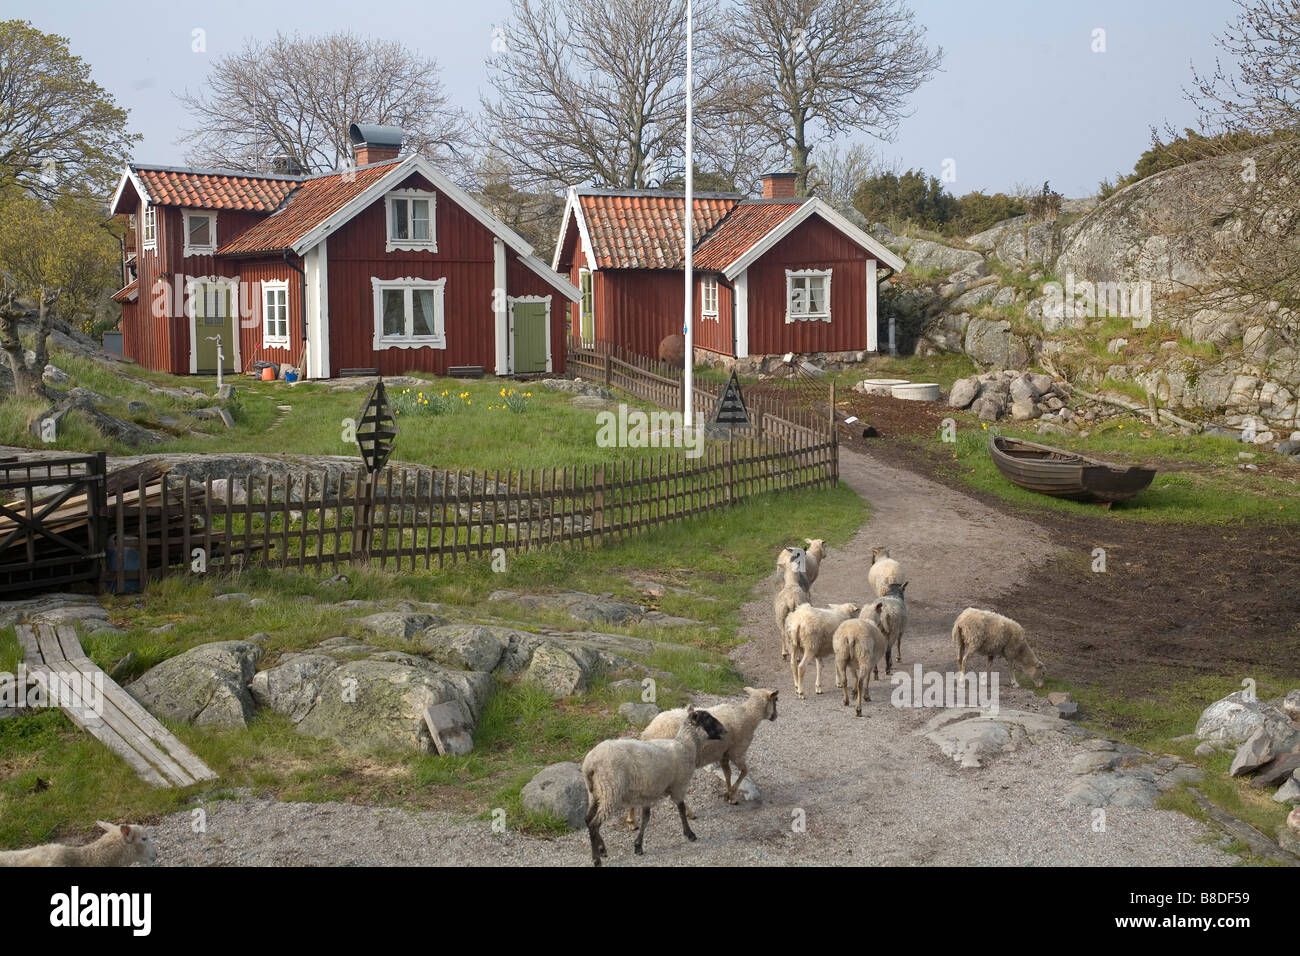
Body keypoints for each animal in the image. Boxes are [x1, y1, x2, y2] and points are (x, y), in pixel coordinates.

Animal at [582, 702, 728, 868]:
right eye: (708, 719)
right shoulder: (678, 786)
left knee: (588, 820)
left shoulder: (648, 793)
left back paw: (601, 848)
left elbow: (646, 819)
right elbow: (681, 809)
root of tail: (590, 764)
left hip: (595, 793)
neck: (685, 746)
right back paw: (596, 859)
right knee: (594, 824)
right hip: (610, 790)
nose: (725, 731)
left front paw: (638, 846)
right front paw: (689, 834)